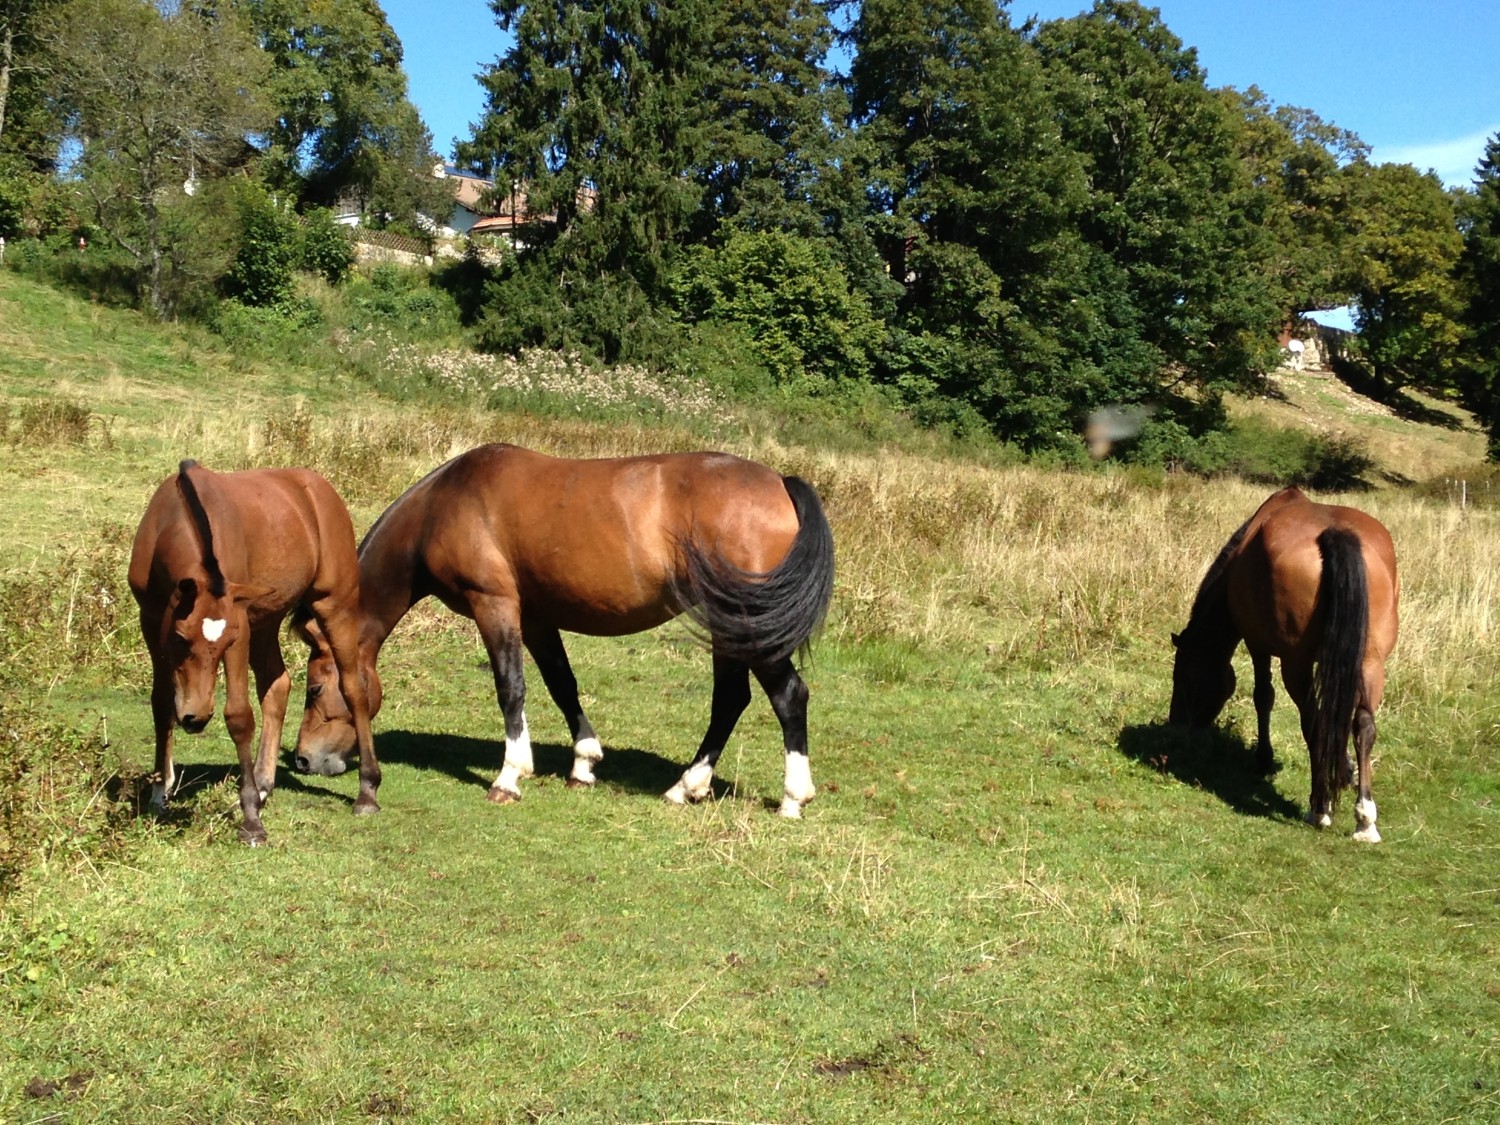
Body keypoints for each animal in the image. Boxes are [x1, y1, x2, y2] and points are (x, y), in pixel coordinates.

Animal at [129, 459, 384, 846]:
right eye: (180, 638)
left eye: (225, 643)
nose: (196, 718)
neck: (180, 513)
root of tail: (318, 488)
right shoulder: (152, 620)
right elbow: (160, 703)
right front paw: (160, 793)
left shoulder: (241, 628)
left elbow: (239, 716)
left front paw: (250, 820)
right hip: (267, 618)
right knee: (277, 685)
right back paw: (264, 784)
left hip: (333, 605)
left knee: (353, 688)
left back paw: (366, 790)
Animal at [292, 444, 834, 822]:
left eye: (315, 687)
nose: (301, 759)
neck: (443, 506)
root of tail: (780, 484)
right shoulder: (536, 617)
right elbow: (562, 685)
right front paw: (584, 765)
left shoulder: (495, 605)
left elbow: (511, 688)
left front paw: (510, 776)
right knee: (730, 701)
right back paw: (687, 787)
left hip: (747, 623)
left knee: (787, 695)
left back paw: (791, 798)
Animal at [1164, 489, 1398, 840]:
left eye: (1184, 678)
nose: (1177, 724)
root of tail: (1336, 535)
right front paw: (1345, 770)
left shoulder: (1257, 645)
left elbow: (1264, 698)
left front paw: (1264, 758)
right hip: (1370, 663)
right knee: (1363, 725)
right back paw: (1365, 820)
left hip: (1296, 665)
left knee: (1314, 722)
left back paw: (1319, 808)